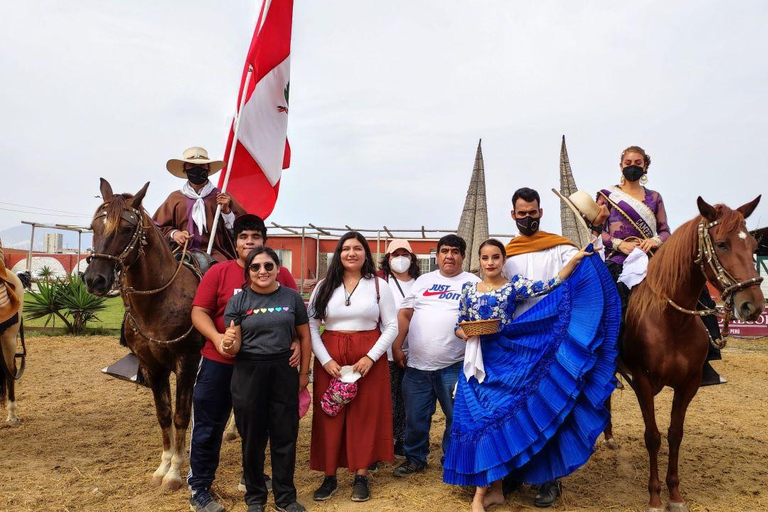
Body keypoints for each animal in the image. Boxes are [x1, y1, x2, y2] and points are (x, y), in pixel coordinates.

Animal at [84, 179, 204, 488]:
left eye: (126, 229)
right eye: (94, 227)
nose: (94, 280)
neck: (158, 301)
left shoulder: (186, 362)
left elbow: (181, 415)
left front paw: (175, 472)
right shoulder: (152, 366)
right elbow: (164, 415)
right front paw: (164, 466)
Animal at [624, 194, 760, 510]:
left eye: (753, 246)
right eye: (721, 244)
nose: (754, 305)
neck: (670, 319)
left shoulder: (689, 384)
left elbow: (675, 434)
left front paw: (674, 494)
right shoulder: (643, 381)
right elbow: (652, 436)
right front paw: (655, 496)